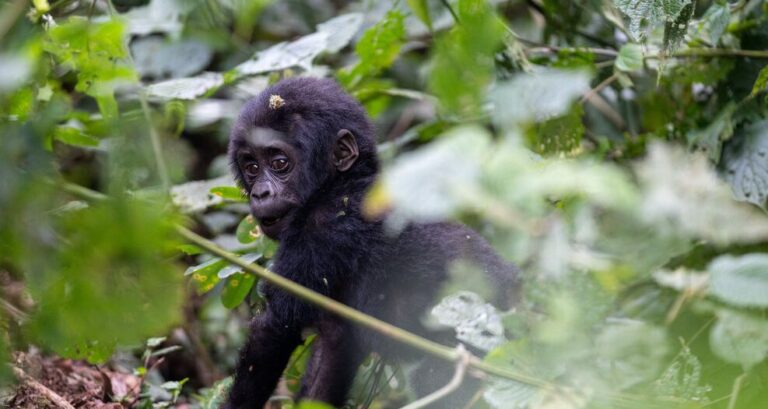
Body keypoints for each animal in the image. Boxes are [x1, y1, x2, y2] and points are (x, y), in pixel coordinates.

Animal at [222, 77, 518, 409]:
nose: (260, 193)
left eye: (279, 163)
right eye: (251, 167)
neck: (342, 181)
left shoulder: (320, 226)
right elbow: (334, 345)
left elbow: (275, 329)